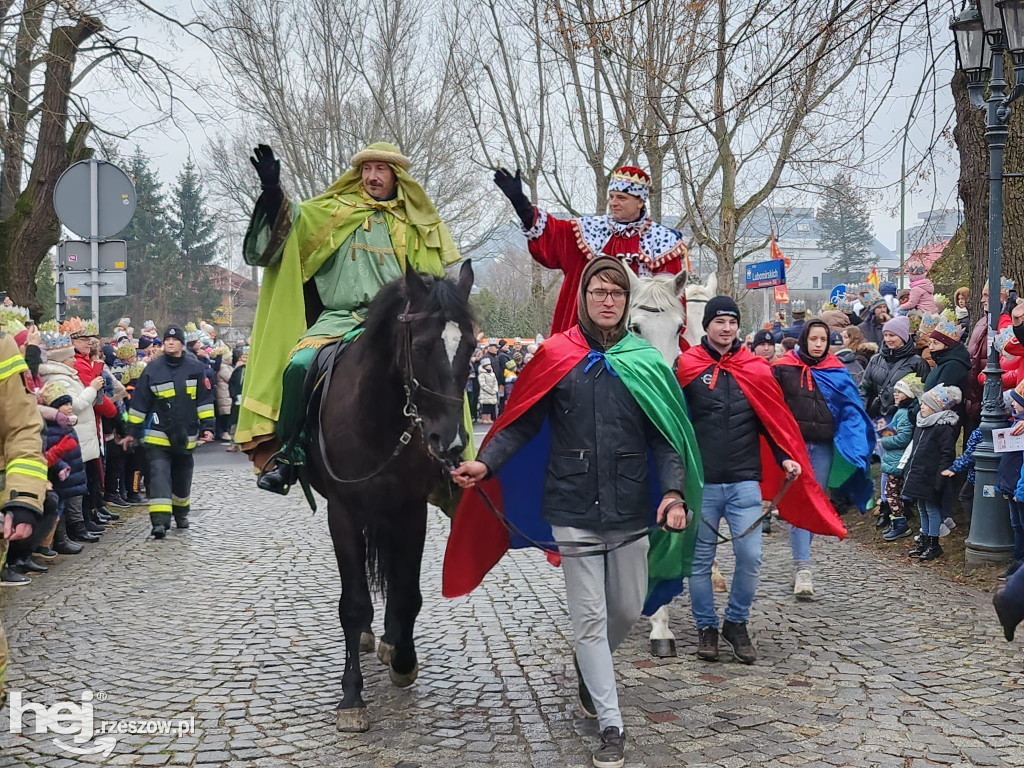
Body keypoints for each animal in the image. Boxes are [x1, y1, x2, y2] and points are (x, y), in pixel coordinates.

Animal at [305, 260, 477, 733]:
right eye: (419, 346)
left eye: (473, 346)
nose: (450, 443)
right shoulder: (343, 512)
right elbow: (353, 603)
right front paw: (351, 696)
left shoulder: (409, 509)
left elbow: (408, 593)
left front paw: (403, 659)